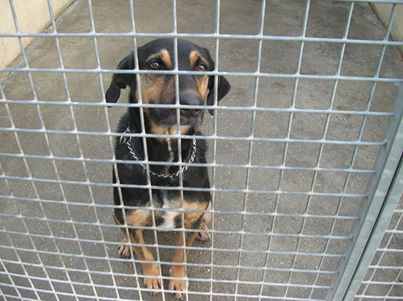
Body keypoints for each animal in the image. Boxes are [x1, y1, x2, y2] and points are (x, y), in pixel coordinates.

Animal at [105, 38, 230, 298]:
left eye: (201, 67)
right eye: (154, 64)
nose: (193, 106)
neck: (165, 167)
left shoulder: (192, 213)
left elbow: (181, 253)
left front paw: (179, 280)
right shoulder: (131, 215)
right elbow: (144, 252)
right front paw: (153, 277)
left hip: (209, 208)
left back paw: (203, 229)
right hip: (116, 211)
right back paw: (125, 243)